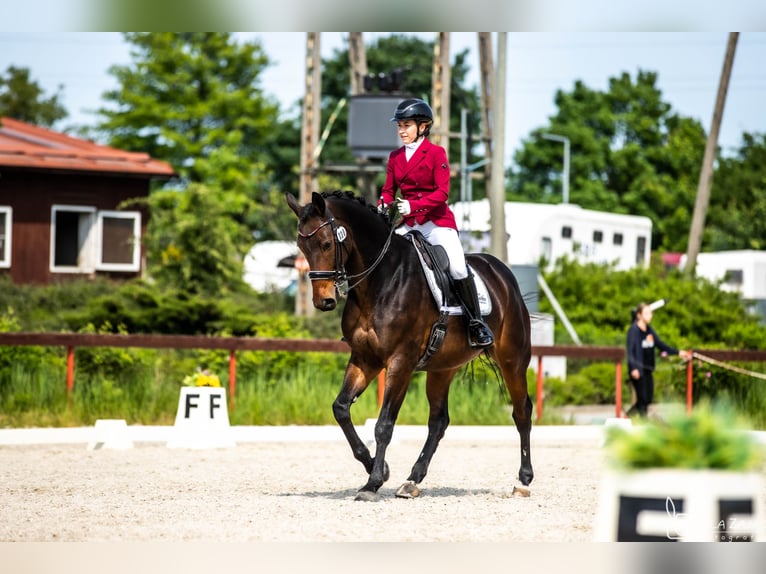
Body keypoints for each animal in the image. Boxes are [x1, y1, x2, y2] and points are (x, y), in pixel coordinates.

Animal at [284, 191, 532, 502]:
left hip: (513, 358)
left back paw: (523, 481)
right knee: (438, 421)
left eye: (327, 243)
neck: (380, 281)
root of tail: (501, 271)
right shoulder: (364, 359)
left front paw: (373, 483)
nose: (324, 301)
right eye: (301, 246)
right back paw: (412, 480)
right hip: (442, 368)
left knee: (522, 411)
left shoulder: (400, 362)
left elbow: (383, 425)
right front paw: (377, 468)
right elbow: (340, 408)